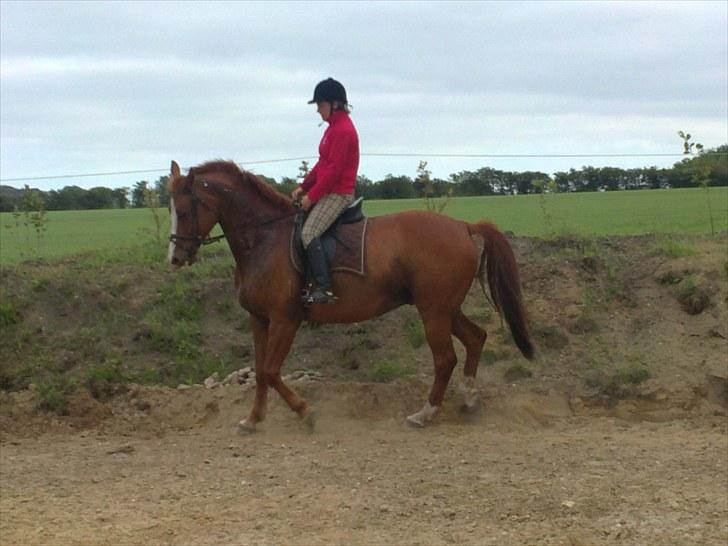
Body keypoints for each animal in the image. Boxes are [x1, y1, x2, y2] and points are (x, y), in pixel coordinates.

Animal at [169, 159, 536, 432]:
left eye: (184, 210)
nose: (176, 257)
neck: (264, 239)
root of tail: (462, 225)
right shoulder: (259, 319)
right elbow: (260, 372)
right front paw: (253, 419)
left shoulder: (286, 320)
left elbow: (272, 371)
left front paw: (306, 412)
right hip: (445, 309)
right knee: (476, 338)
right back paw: (469, 399)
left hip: (434, 312)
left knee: (446, 358)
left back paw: (425, 413)